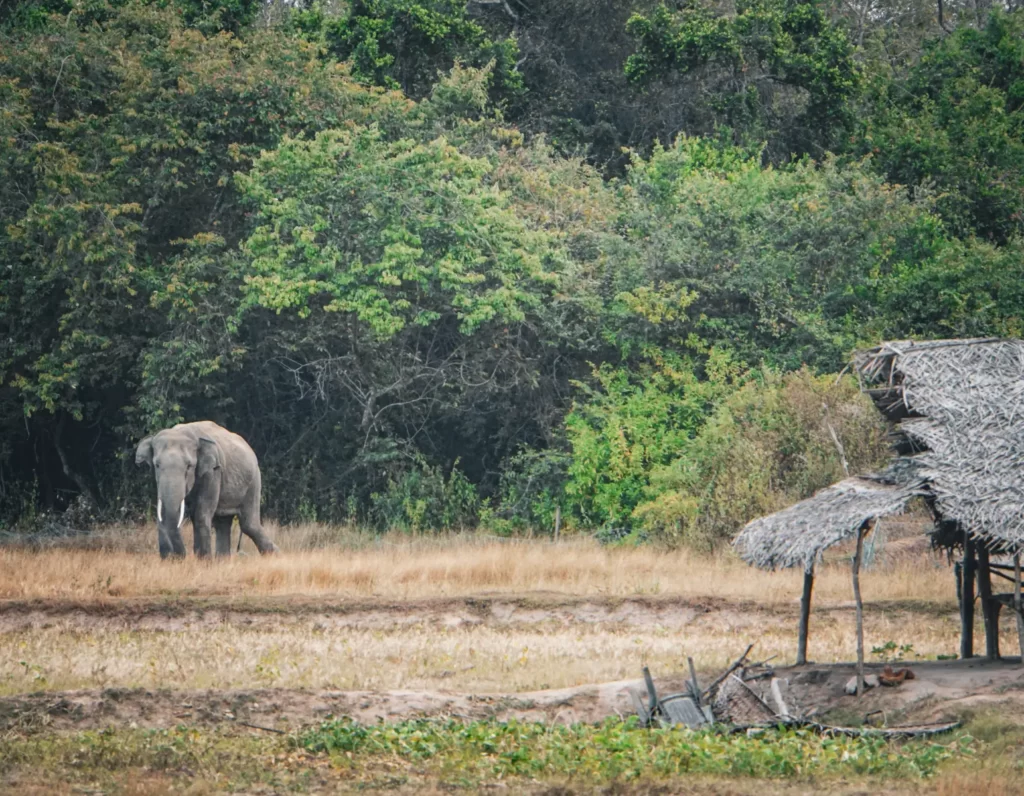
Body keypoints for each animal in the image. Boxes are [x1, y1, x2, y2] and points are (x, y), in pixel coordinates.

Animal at [135, 421, 279, 559]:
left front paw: (204, 561)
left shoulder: (213, 472)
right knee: (223, 523)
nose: (180, 555)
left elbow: (201, 514)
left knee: (248, 524)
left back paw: (275, 555)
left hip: (253, 481)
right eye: (157, 465)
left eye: (189, 466)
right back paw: (223, 561)